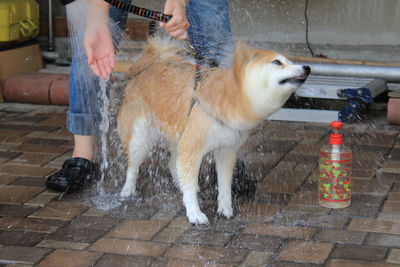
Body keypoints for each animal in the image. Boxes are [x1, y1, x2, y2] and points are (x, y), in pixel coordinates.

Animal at [117, 37, 310, 226]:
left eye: (290, 61)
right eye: (277, 62)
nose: (307, 67)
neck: (231, 97)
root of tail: (148, 68)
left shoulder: (226, 149)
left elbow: (224, 184)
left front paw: (225, 208)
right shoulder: (192, 146)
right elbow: (190, 189)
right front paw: (194, 213)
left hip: (178, 137)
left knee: (173, 164)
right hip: (140, 140)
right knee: (133, 167)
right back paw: (128, 189)